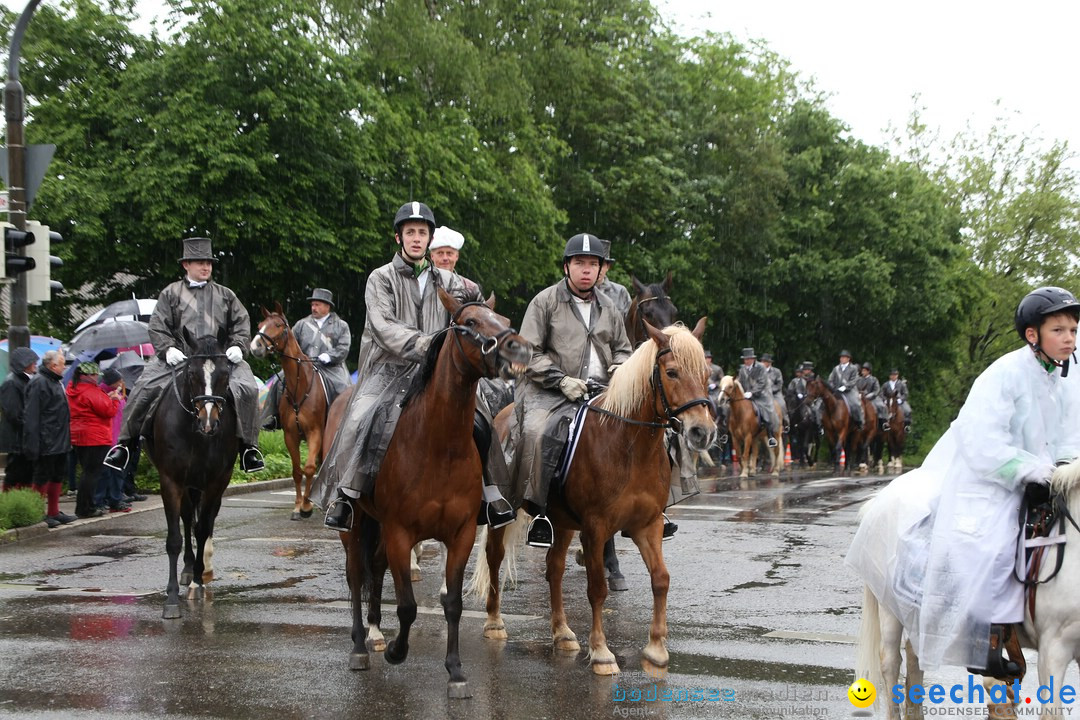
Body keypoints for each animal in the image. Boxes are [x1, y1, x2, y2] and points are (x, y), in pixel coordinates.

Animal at [145, 325, 240, 621]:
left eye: (225, 374)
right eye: (191, 374)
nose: (208, 422)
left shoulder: (216, 482)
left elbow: (202, 529)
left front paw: (198, 580)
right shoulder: (171, 481)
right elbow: (175, 538)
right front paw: (172, 599)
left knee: (202, 522)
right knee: (187, 517)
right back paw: (187, 569)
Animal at [249, 302, 326, 518]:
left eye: (277, 325)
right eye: (260, 324)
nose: (255, 347)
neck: (299, 386)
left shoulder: (315, 433)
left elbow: (309, 468)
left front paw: (307, 505)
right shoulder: (290, 435)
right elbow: (297, 471)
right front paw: (299, 506)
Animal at [330, 289, 529, 699]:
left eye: (502, 318)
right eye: (470, 323)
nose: (517, 348)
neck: (439, 444)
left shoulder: (461, 533)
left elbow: (451, 602)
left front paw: (456, 672)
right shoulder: (400, 532)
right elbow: (407, 606)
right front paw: (396, 650)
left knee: (374, 567)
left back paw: (375, 631)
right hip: (356, 522)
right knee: (356, 574)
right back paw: (360, 645)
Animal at [473, 319, 717, 677]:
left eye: (706, 373)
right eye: (671, 372)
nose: (703, 432)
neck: (629, 446)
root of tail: (502, 415)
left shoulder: (647, 525)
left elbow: (661, 579)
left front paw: (656, 650)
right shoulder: (595, 528)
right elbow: (597, 589)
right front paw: (601, 652)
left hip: (560, 522)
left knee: (554, 568)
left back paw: (562, 632)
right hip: (504, 512)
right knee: (495, 557)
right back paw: (494, 622)